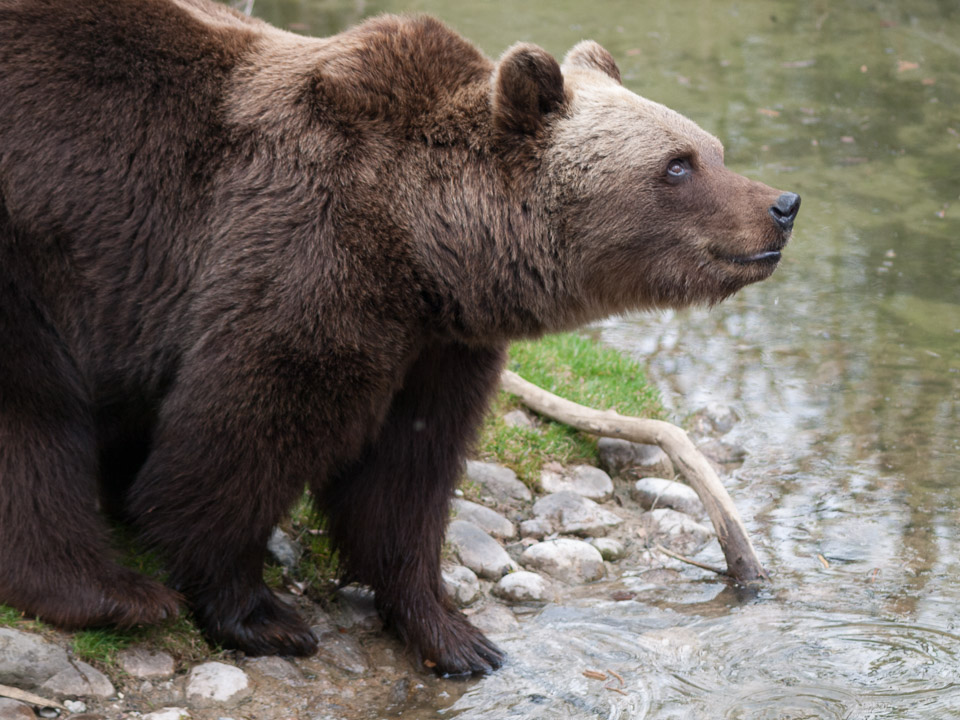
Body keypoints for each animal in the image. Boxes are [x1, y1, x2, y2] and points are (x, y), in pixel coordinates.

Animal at [0, 0, 796, 676]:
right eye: (677, 164)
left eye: (714, 150)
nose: (782, 204)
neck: (423, 245)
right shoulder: (303, 261)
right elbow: (236, 442)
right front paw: (259, 612)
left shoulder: (439, 346)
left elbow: (406, 478)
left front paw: (453, 632)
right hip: (34, 251)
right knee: (34, 416)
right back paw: (110, 592)